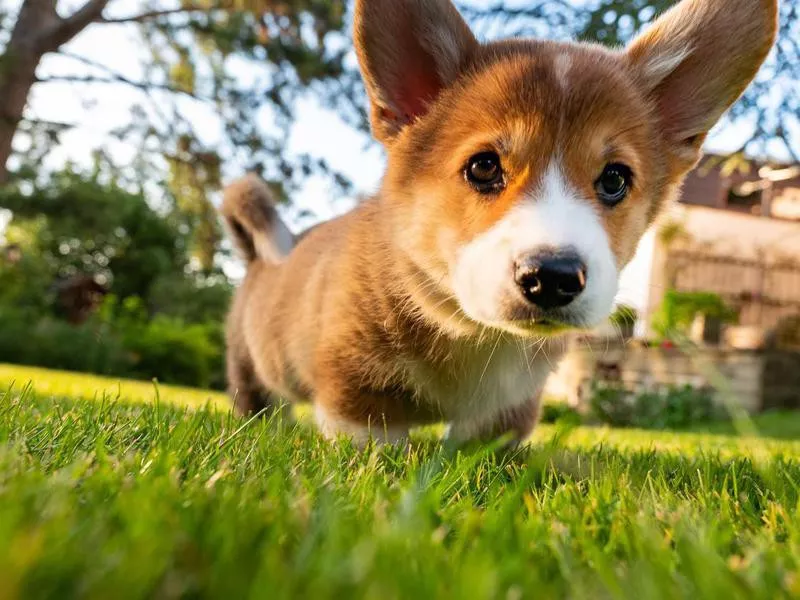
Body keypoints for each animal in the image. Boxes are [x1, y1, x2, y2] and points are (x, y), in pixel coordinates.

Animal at [222, 0, 780, 446]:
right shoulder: (354, 389)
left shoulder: (507, 408)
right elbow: (373, 445)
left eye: (615, 179)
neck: (471, 332)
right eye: (484, 167)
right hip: (252, 368)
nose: (552, 278)